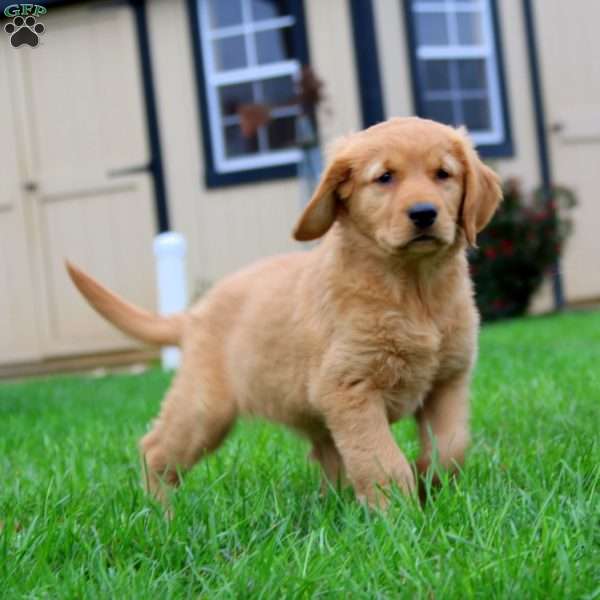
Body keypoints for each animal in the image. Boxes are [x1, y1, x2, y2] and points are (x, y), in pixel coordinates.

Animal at [67, 116, 502, 506]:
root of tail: (194, 314)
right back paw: (161, 514)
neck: (413, 290)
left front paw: (431, 480)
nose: (424, 213)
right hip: (204, 408)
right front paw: (397, 515)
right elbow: (381, 460)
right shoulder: (350, 388)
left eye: (443, 174)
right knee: (155, 449)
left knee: (328, 457)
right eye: (384, 178)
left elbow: (452, 445)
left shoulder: (448, 380)